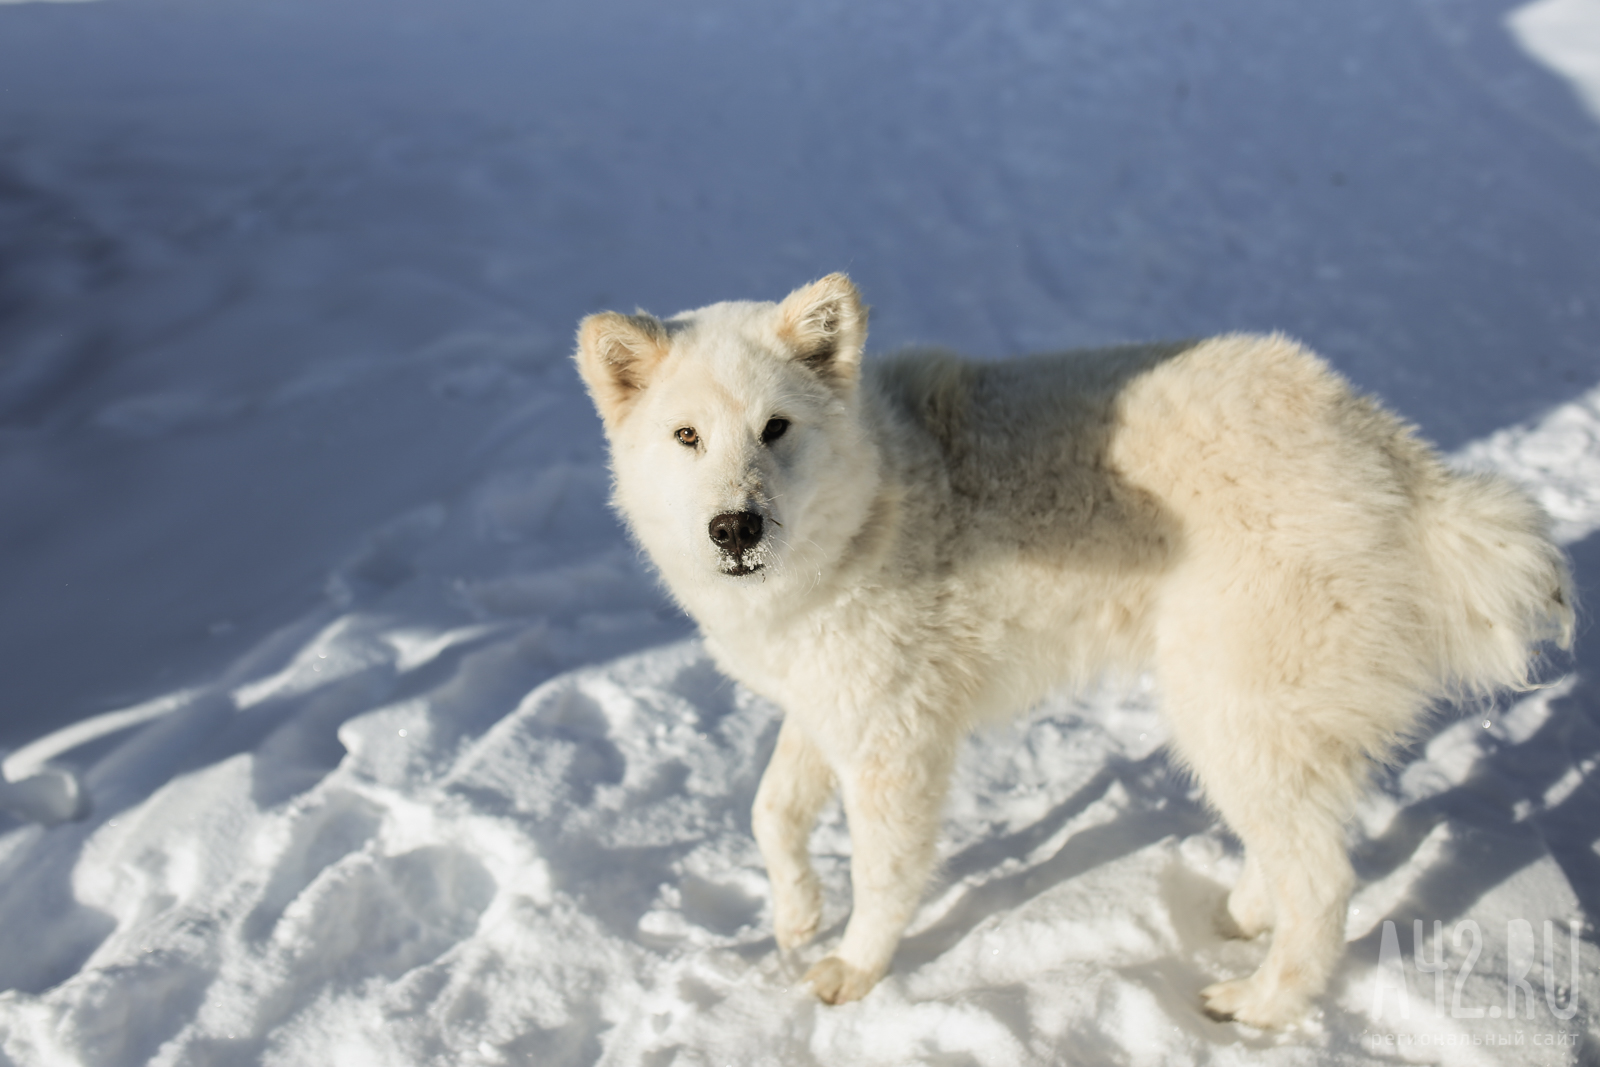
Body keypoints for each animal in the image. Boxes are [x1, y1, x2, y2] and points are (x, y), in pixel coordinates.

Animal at [579, 273, 1574, 1023]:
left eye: (776, 427)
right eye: (686, 436)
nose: (735, 528)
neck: (882, 499)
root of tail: (1403, 468)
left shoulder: (895, 740)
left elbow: (885, 872)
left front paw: (854, 970)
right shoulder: (830, 705)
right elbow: (770, 812)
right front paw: (795, 916)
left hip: (1224, 710)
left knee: (1326, 882)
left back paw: (1260, 1005)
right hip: (1250, 722)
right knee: (1299, 846)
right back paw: (1244, 915)